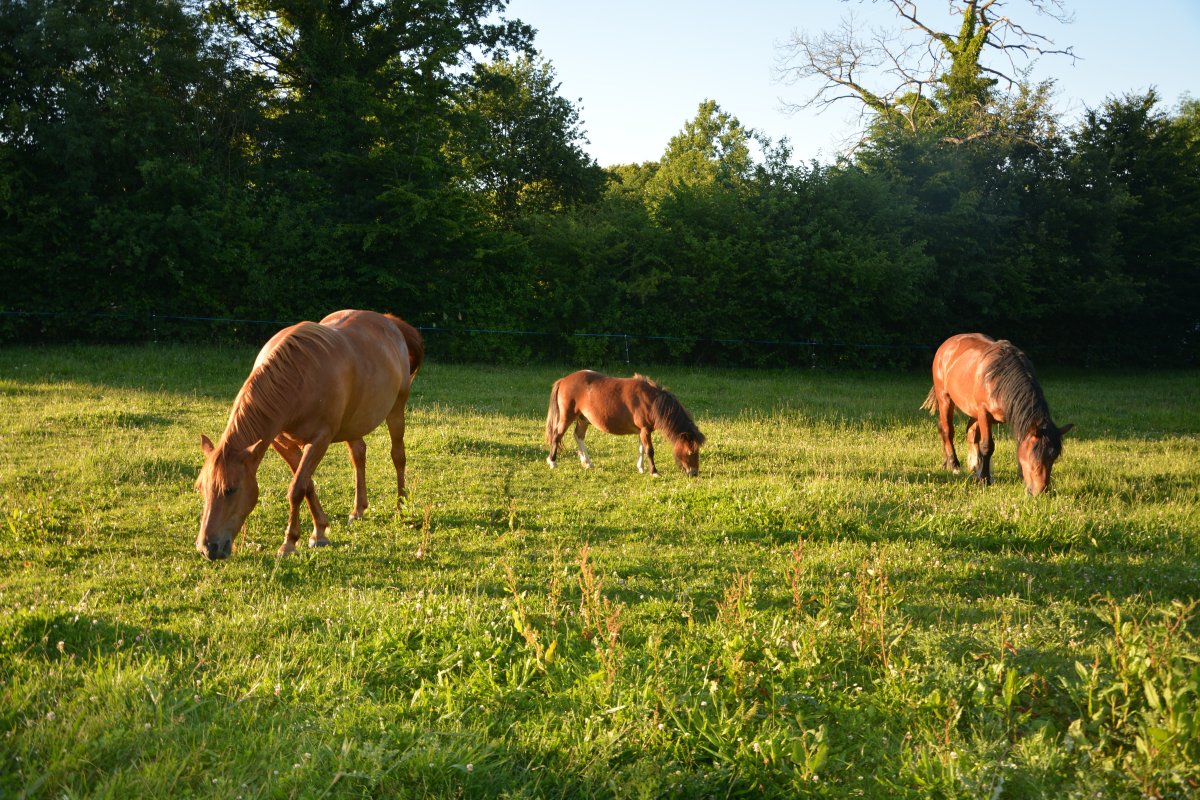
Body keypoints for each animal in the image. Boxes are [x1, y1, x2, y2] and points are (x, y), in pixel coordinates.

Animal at [194, 309, 424, 561]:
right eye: (201, 488)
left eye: (230, 490)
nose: (208, 547)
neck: (296, 379)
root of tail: (388, 321)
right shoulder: (281, 442)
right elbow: (307, 484)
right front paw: (319, 531)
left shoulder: (319, 440)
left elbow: (297, 488)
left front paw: (289, 543)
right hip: (353, 423)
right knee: (358, 455)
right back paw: (358, 510)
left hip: (396, 410)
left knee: (398, 456)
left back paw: (401, 508)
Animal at [544, 371, 700, 474]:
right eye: (690, 452)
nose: (694, 473)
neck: (651, 401)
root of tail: (564, 380)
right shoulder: (645, 430)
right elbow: (649, 450)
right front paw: (654, 471)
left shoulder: (642, 431)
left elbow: (641, 448)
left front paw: (641, 468)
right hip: (566, 417)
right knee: (557, 436)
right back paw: (552, 461)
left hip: (583, 419)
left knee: (578, 436)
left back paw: (587, 463)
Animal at [921, 331, 1075, 494]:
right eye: (1034, 453)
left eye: (1054, 457)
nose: (1040, 491)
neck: (999, 378)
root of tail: (947, 343)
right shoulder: (984, 413)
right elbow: (987, 446)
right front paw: (984, 479)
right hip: (945, 398)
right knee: (947, 430)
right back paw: (954, 464)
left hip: (972, 410)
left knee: (969, 432)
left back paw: (970, 464)